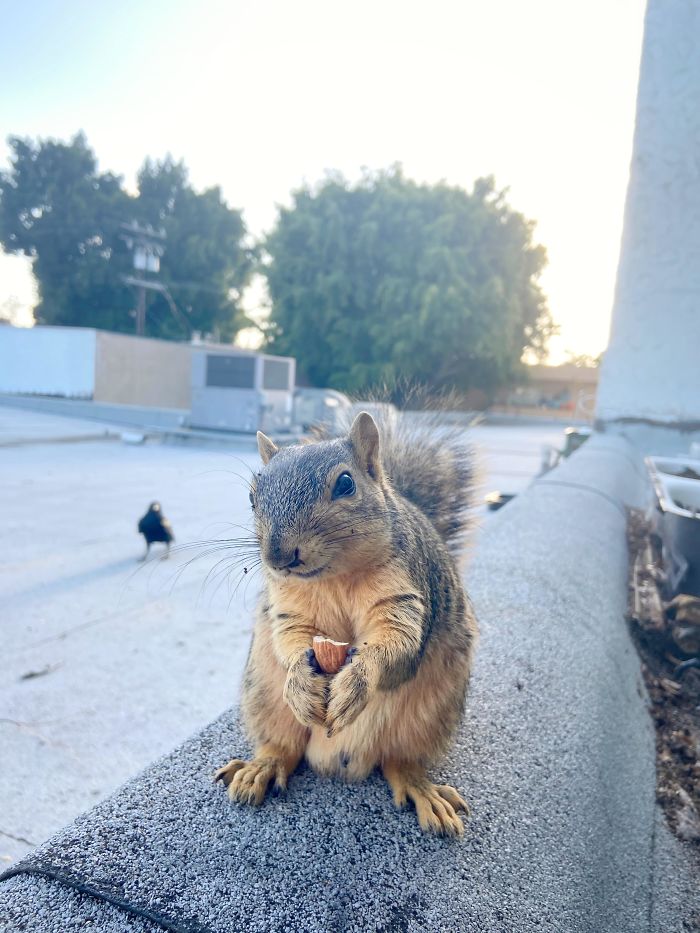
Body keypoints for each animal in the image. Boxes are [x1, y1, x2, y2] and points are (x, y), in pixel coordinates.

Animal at [215, 410, 478, 836]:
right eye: (252, 497)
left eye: (345, 483)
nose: (278, 556)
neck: (334, 578)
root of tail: (338, 758)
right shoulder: (288, 608)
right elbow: (290, 639)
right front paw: (299, 680)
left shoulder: (405, 595)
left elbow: (397, 643)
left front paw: (357, 681)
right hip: (264, 697)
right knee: (284, 746)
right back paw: (262, 766)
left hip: (427, 718)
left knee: (399, 761)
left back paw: (421, 789)